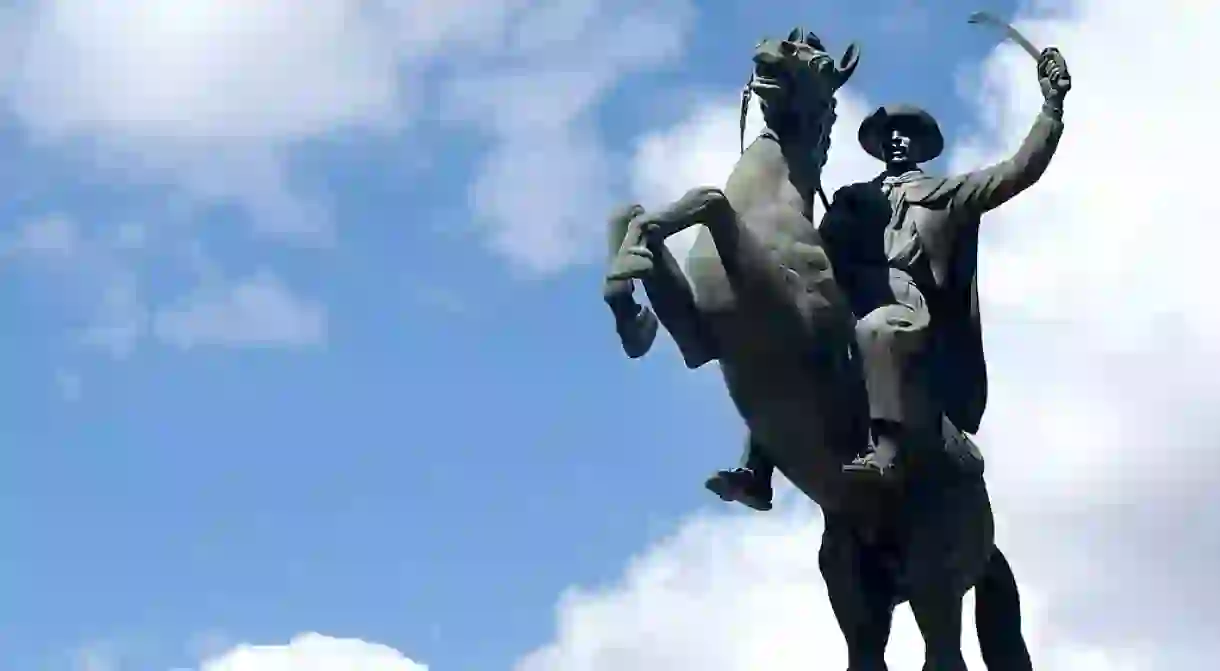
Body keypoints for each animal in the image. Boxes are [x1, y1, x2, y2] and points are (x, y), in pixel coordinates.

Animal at [600, 27, 1029, 671]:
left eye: (820, 61)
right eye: (789, 41)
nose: (769, 47)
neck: (770, 210)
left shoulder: (779, 316)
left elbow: (707, 200)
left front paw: (632, 290)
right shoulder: (701, 339)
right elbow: (637, 213)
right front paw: (629, 309)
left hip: (934, 582)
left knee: (944, 654)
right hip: (855, 588)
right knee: (867, 653)